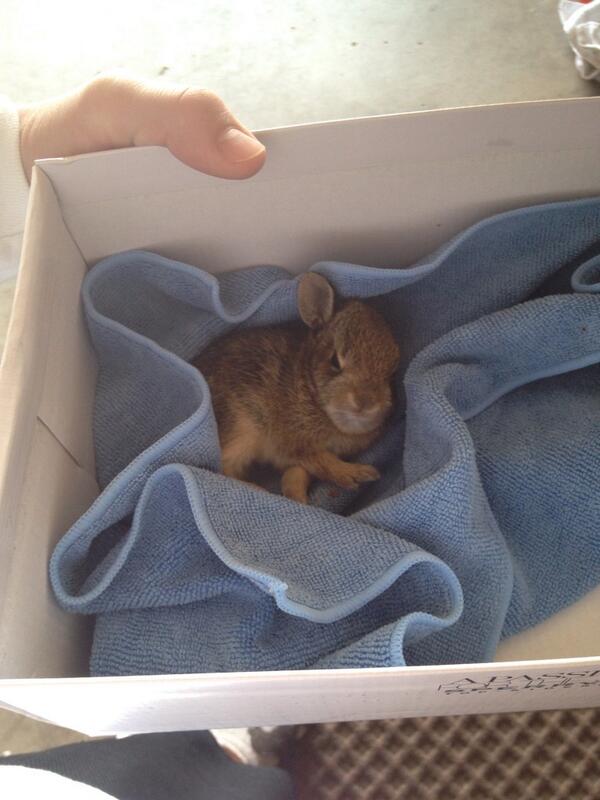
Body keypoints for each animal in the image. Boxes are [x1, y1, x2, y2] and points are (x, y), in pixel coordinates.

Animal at [193, 273, 400, 504]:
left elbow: (297, 475)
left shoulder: (298, 458)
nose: (365, 403)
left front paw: (298, 498)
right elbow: (323, 461)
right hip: (240, 426)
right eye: (335, 362)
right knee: (219, 469)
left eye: (392, 373)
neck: (309, 387)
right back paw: (259, 490)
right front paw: (356, 474)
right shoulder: (296, 445)